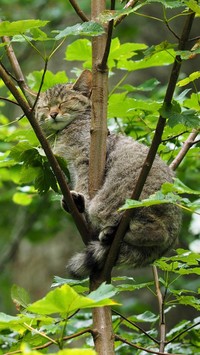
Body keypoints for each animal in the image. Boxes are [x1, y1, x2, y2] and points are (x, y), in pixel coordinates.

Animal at [36, 69, 181, 280]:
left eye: (64, 102)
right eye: (45, 107)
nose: (53, 114)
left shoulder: (85, 158)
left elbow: (83, 182)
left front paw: (79, 198)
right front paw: (72, 202)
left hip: (111, 203)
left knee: (157, 231)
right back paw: (111, 234)